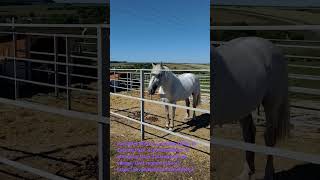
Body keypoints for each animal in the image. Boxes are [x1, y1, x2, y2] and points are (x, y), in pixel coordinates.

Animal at [212, 37, 290, 180]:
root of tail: (274, 48)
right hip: (243, 107)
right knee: (249, 134)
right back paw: (246, 173)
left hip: (271, 103)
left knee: (269, 136)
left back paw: (268, 174)